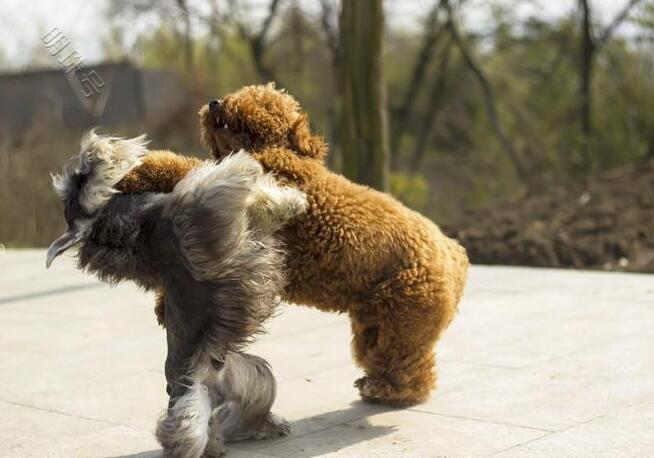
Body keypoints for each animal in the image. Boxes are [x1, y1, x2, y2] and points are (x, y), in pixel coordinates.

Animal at [46, 130, 308, 458]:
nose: (91, 150)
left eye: (78, 180)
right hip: (195, 409)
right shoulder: (200, 206)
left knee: (237, 418)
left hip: (258, 380)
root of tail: (212, 385)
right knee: (187, 434)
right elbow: (239, 179)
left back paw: (259, 429)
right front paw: (291, 199)